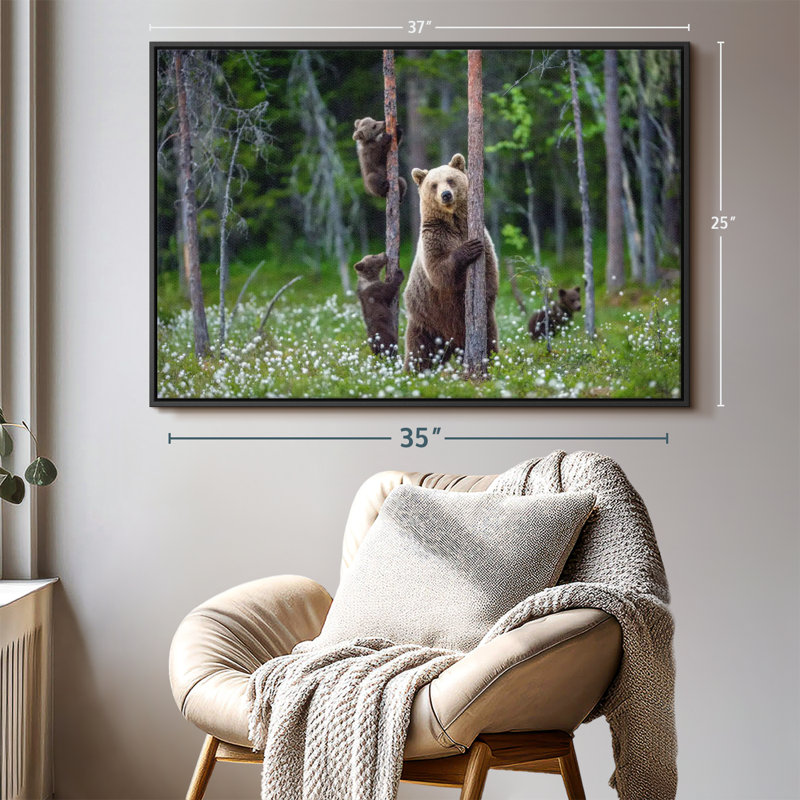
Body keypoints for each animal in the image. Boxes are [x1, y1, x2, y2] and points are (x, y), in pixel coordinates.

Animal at [403, 153, 499, 372]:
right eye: (433, 184)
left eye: (450, 180)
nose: (446, 194)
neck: (454, 222)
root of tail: (452, 343)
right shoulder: (434, 239)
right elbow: (439, 271)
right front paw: (468, 249)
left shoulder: (482, 237)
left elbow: (490, 272)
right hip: (426, 320)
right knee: (419, 352)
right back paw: (411, 373)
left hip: (482, 324)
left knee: (490, 340)